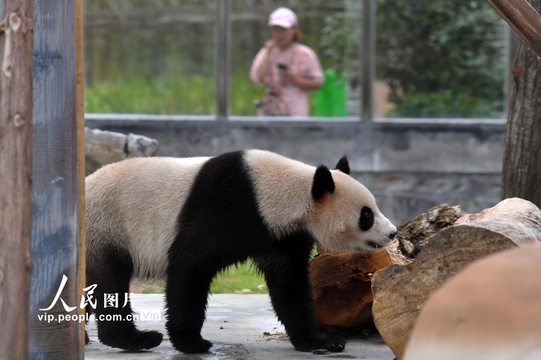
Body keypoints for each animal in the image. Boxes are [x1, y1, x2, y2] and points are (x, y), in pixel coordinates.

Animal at [85, 149, 396, 354]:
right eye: (366, 215)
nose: (392, 233)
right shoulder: (227, 206)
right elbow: (189, 266)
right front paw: (192, 343)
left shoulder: (281, 236)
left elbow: (289, 283)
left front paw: (319, 341)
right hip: (106, 229)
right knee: (110, 284)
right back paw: (137, 339)